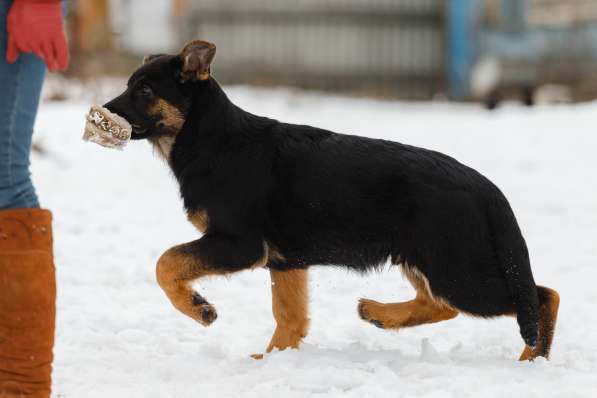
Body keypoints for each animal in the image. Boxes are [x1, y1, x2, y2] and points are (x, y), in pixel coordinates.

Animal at [103, 39, 560, 360]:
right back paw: (378, 313)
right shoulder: (285, 260)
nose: (101, 113)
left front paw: (200, 309)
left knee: (540, 298)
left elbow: (166, 263)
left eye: (144, 90)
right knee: (444, 304)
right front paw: (272, 362)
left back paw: (529, 363)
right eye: (130, 86)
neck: (211, 139)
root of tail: (486, 188)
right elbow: (289, 318)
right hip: (428, 260)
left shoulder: (240, 244)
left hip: (457, 270)